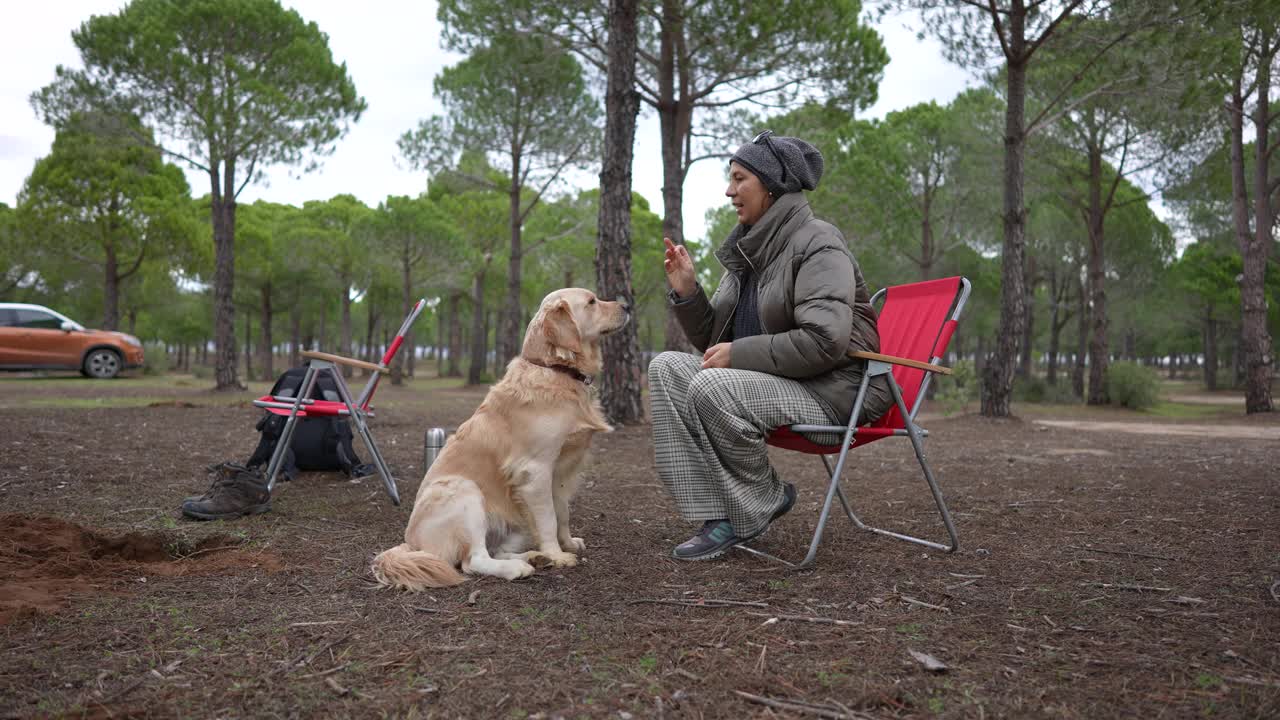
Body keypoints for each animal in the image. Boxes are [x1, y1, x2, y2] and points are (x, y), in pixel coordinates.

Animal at [371, 286, 629, 589]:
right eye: (591, 302)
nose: (627, 305)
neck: (556, 370)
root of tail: (410, 543)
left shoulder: (561, 472)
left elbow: (562, 512)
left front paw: (565, 544)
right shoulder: (536, 471)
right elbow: (549, 518)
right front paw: (558, 555)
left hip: (514, 520)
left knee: (497, 549)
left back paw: (534, 556)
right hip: (465, 492)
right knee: (474, 560)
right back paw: (519, 567)